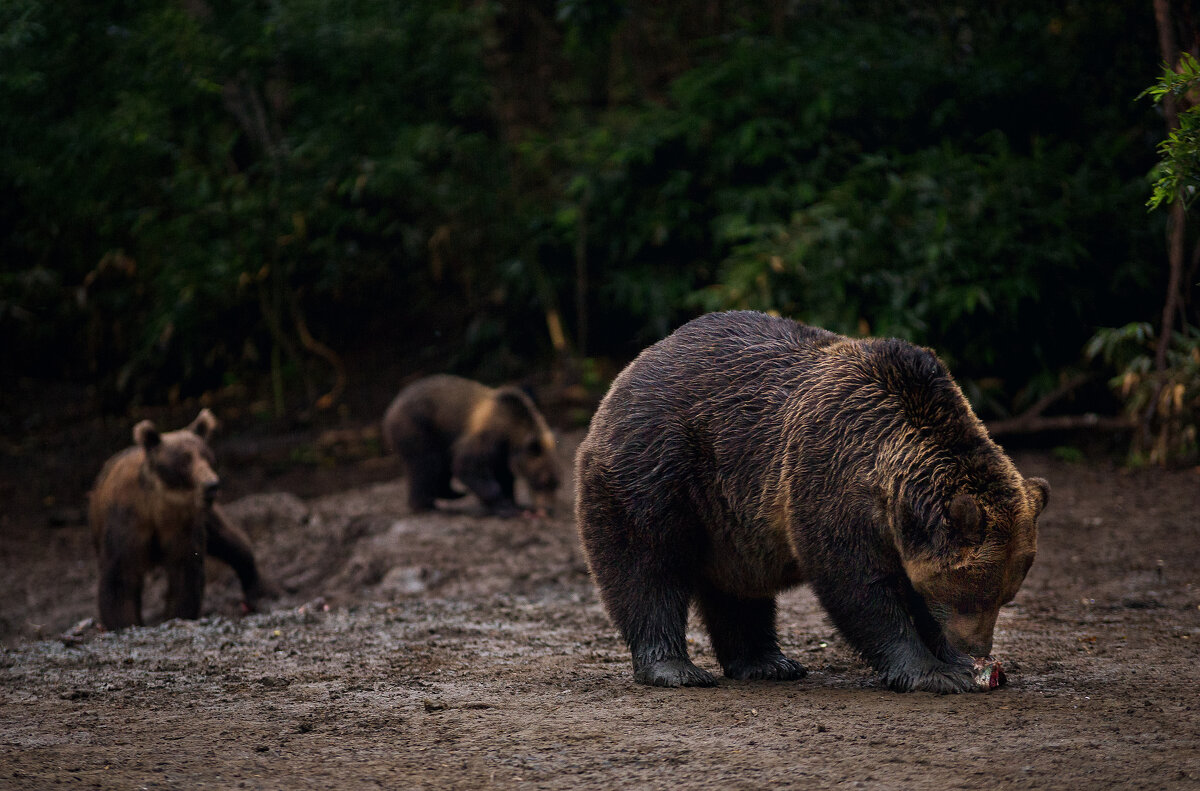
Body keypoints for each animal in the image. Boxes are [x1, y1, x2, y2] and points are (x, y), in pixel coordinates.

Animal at [88, 408, 272, 628]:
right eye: (184, 460)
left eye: (207, 457)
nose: (211, 485)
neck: (158, 507)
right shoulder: (127, 522)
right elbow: (120, 576)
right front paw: (124, 622)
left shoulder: (182, 523)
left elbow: (184, 572)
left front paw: (177, 614)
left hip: (205, 515)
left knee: (230, 540)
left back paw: (251, 589)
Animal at [384, 372, 561, 516]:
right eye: (543, 481)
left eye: (557, 483)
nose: (549, 508)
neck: (512, 432)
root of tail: (391, 408)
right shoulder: (488, 434)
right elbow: (469, 465)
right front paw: (504, 506)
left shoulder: (503, 452)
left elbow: (503, 474)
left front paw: (513, 502)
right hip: (418, 426)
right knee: (426, 463)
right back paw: (426, 505)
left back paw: (452, 493)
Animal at [573, 309, 1051, 691]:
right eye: (975, 592)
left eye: (1006, 594)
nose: (977, 645)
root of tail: (629, 371)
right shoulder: (830, 479)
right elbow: (858, 585)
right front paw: (934, 672)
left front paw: (961, 664)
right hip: (657, 466)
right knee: (647, 564)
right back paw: (675, 668)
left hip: (727, 516)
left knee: (737, 588)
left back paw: (767, 663)